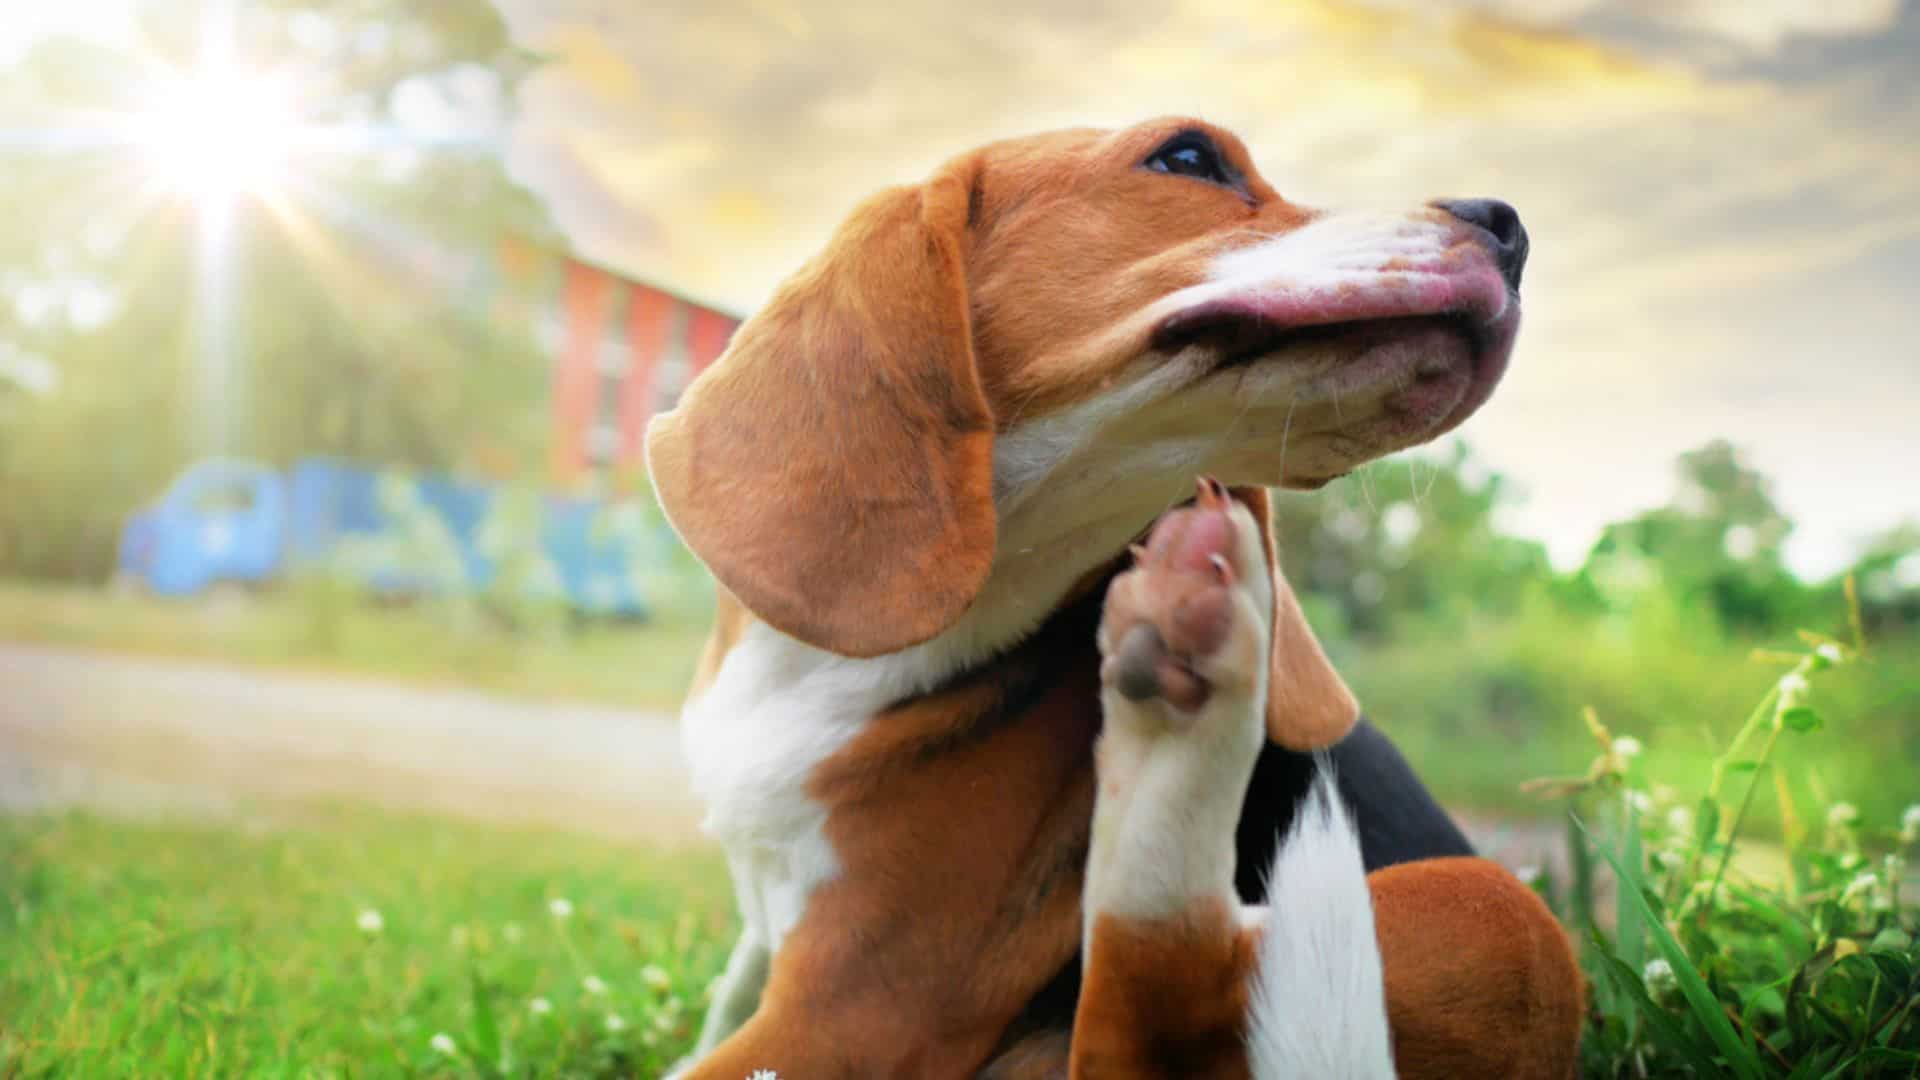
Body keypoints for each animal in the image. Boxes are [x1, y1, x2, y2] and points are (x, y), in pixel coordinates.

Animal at [652, 113, 1582, 1068]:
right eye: (1188, 157)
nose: (1509, 227)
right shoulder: (779, 957)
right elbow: (722, 1005)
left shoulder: (855, 1012)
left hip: (1498, 912)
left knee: (1154, 1013)